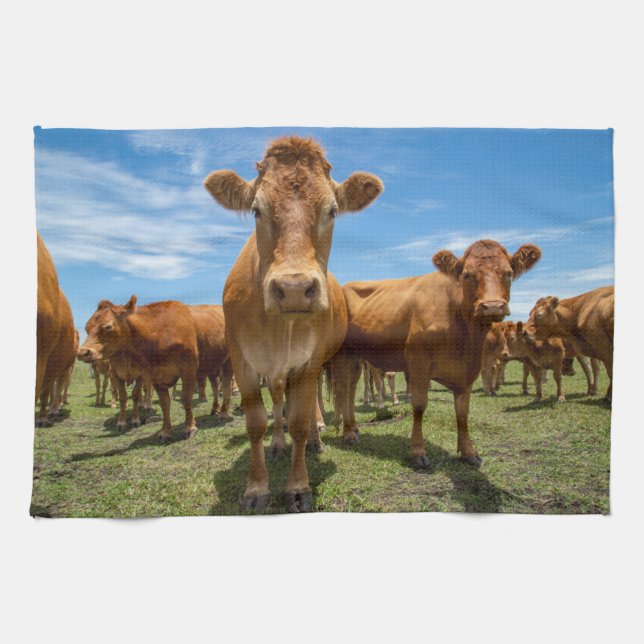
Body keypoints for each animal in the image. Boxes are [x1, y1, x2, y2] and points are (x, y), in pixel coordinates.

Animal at [77, 297, 199, 442]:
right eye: (87, 327)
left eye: (108, 327)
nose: (82, 352)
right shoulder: (122, 374)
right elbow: (130, 398)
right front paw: (122, 422)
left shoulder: (186, 371)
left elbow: (185, 398)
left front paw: (189, 428)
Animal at [204, 136, 383, 512]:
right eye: (256, 210)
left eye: (332, 210)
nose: (295, 289)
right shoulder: (242, 361)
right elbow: (256, 422)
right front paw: (256, 488)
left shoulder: (309, 361)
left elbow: (299, 421)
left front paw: (298, 486)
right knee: (277, 401)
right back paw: (276, 445)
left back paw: (316, 438)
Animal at [332, 239, 541, 468]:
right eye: (466, 274)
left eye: (509, 273)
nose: (492, 306)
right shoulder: (418, 361)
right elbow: (419, 405)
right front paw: (417, 452)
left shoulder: (467, 371)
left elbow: (462, 411)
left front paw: (468, 452)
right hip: (342, 354)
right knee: (343, 389)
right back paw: (348, 433)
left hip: (356, 356)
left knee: (351, 389)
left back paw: (353, 428)